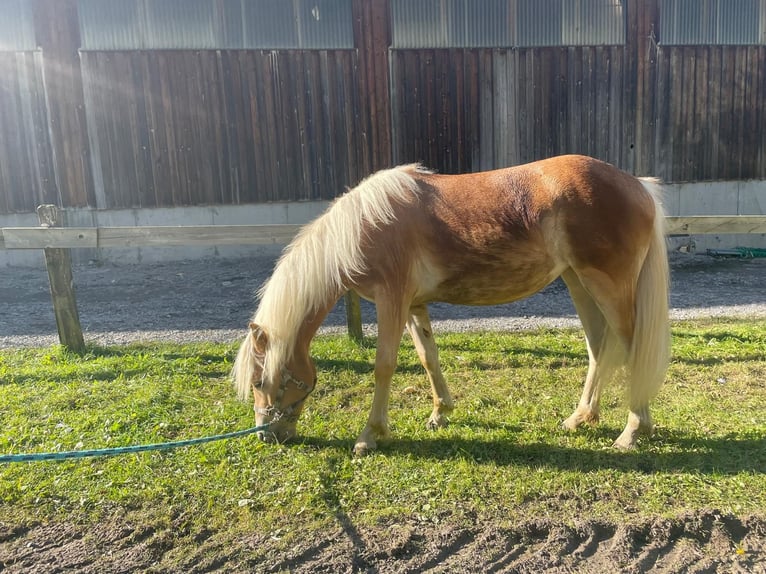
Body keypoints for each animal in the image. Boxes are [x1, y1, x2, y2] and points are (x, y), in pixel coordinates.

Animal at [234, 155, 672, 456]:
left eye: (258, 382)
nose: (269, 436)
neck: (365, 226)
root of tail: (637, 185)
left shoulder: (392, 301)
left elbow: (384, 366)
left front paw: (370, 435)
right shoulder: (413, 306)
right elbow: (428, 357)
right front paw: (440, 413)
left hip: (608, 286)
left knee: (632, 349)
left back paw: (633, 431)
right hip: (579, 282)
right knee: (599, 347)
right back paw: (581, 418)